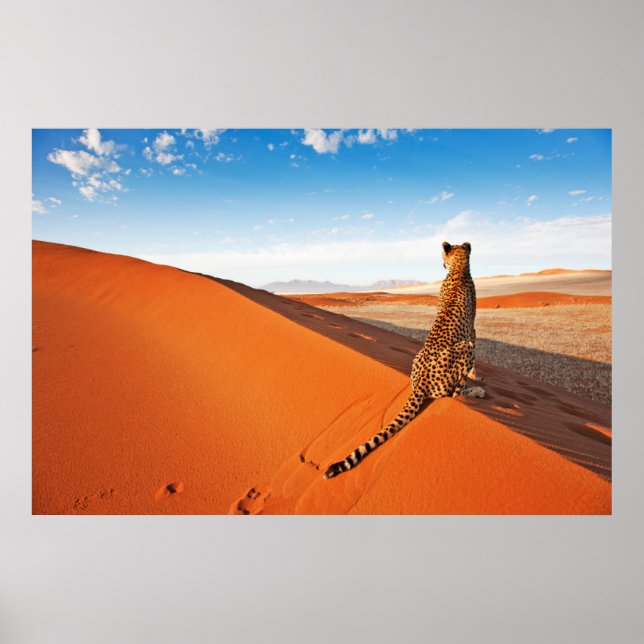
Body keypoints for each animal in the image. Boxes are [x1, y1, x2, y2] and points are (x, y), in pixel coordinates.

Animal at [324, 241, 485, 479]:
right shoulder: (471, 333)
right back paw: (476, 392)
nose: (441, 264)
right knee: (453, 395)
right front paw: (477, 377)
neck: (458, 270)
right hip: (464, 349)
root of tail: (421, 382)